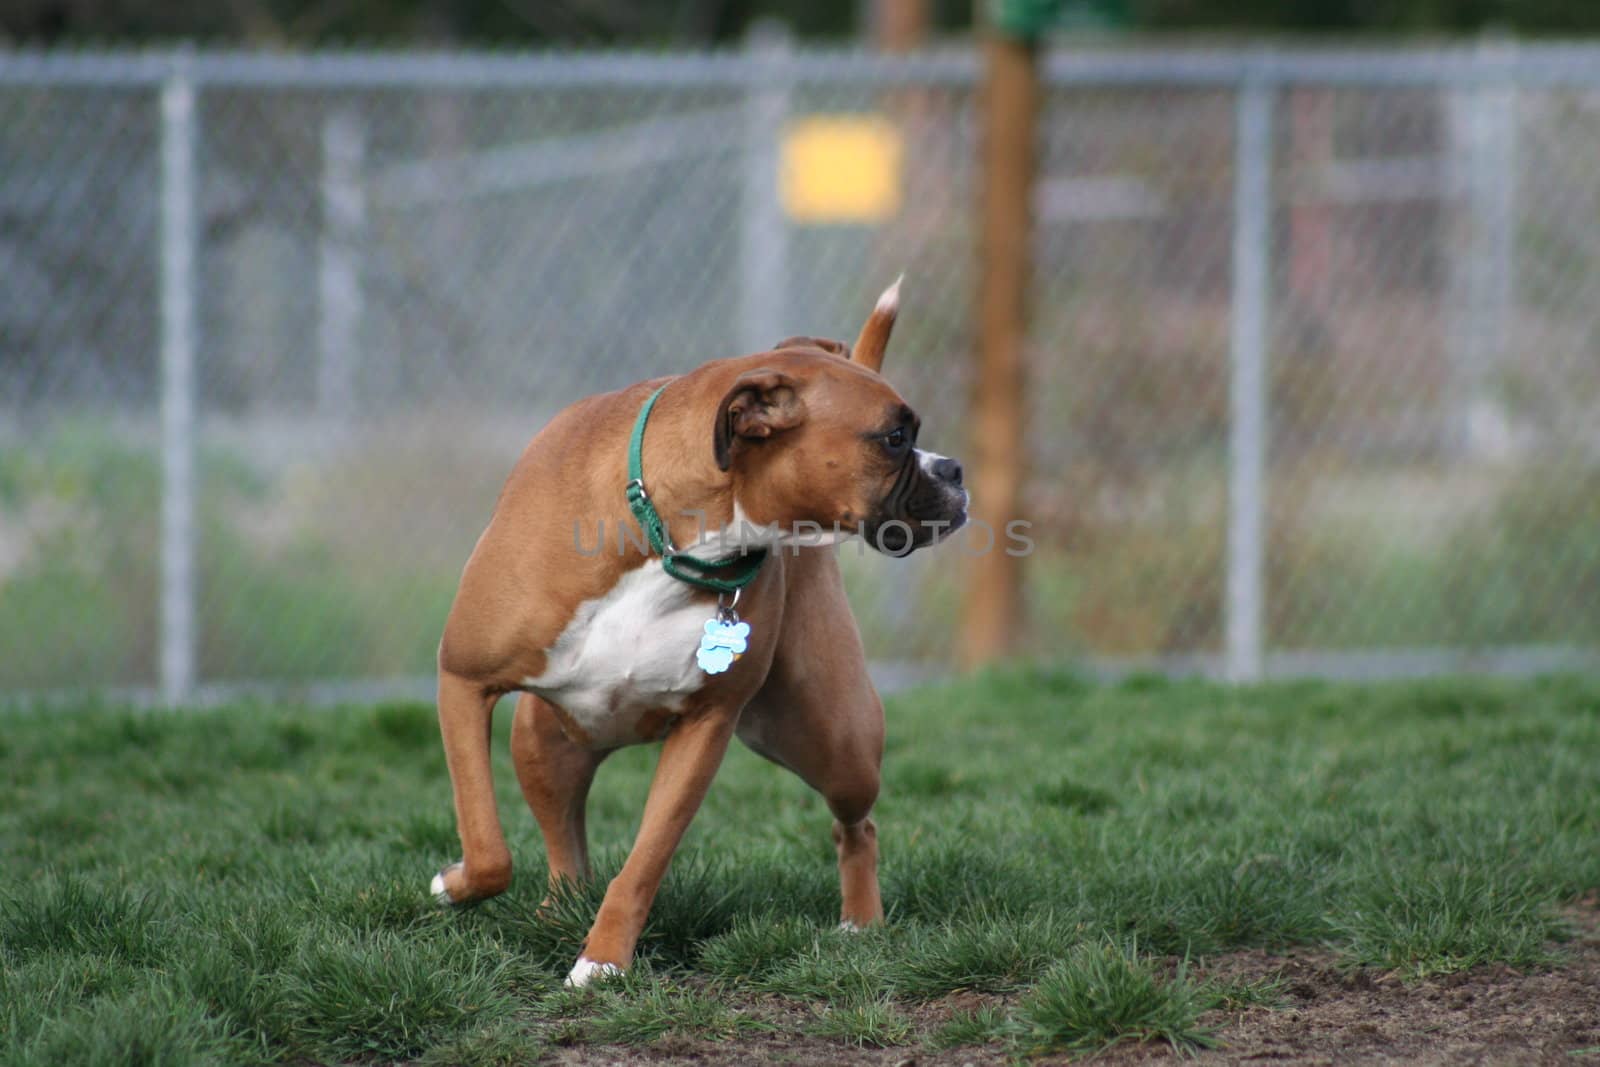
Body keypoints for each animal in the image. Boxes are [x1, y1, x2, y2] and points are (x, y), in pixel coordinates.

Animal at [425, 279, 966, 991]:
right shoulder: (462, 681)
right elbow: (489, 850)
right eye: (896, 437)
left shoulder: (703, 731)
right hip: (544, 745)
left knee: (858, 826)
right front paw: (454, 883)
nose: (954, 470)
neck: (668, 537)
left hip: (836, 745)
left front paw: (603, 960)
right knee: (565, 847)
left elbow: (643, 863)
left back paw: (860, 924)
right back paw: (555, 912)